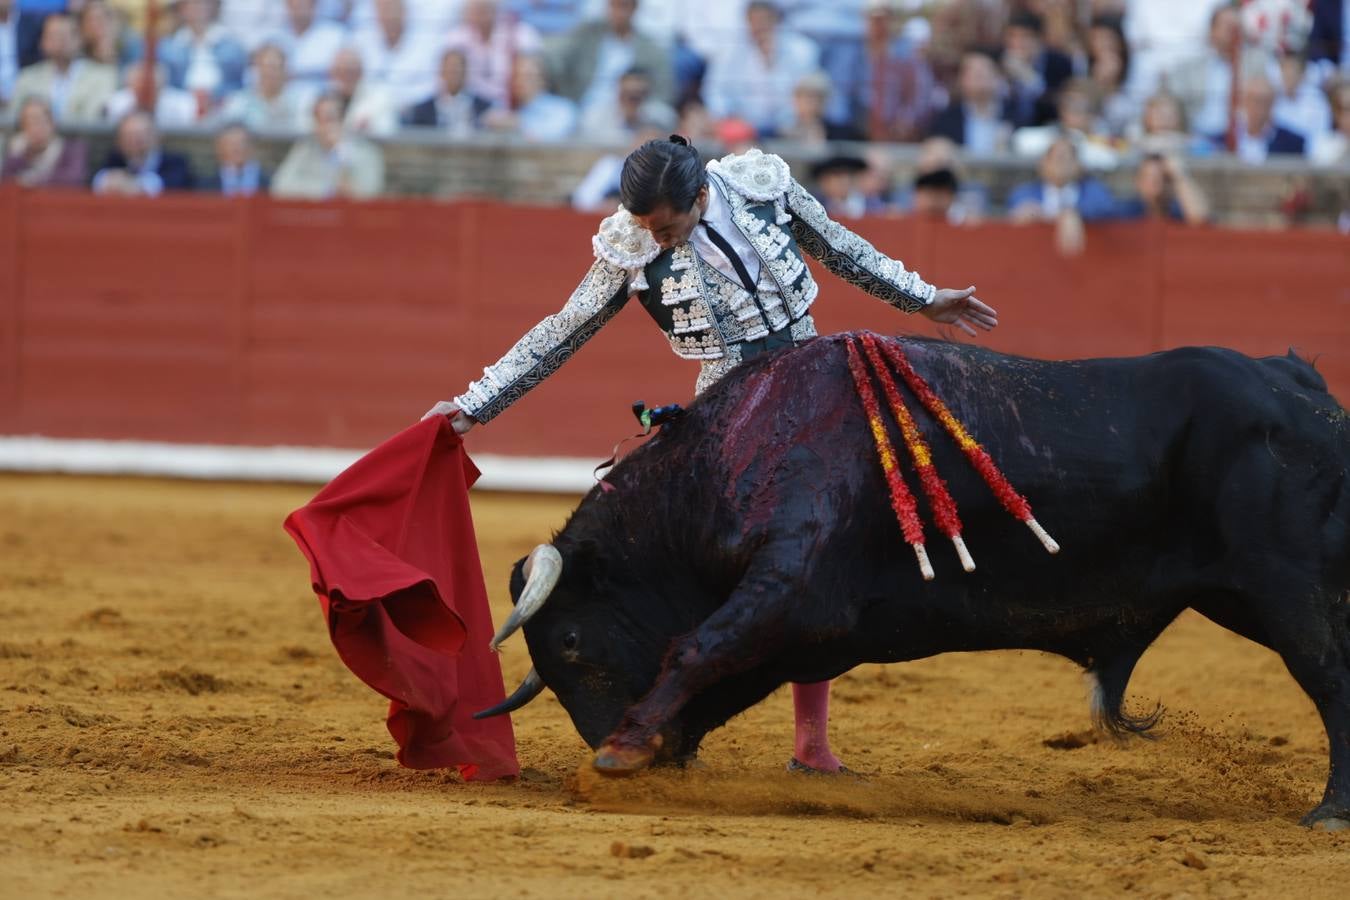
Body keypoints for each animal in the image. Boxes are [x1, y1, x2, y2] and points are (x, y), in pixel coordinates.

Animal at [480, 333, 1344, 831]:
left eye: (571, 640)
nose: (605, 763)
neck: (735, 451)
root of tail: (1301, 387)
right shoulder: (806, 620)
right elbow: (719, 666)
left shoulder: (792, 582)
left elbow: (702, 646)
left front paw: (623, 751)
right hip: (1245, 594)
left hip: (1290, 587)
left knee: (1330, 679)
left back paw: (1330, 813)